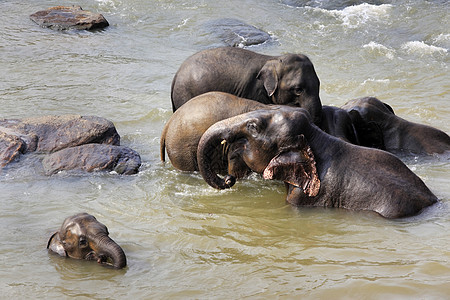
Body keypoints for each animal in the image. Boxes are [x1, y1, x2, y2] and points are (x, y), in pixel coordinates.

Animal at [170, 46, 324, 123]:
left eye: (319, 84)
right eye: (298, 89)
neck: (273, 59)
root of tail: (176, 76)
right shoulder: (254, 91)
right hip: (185, 94)